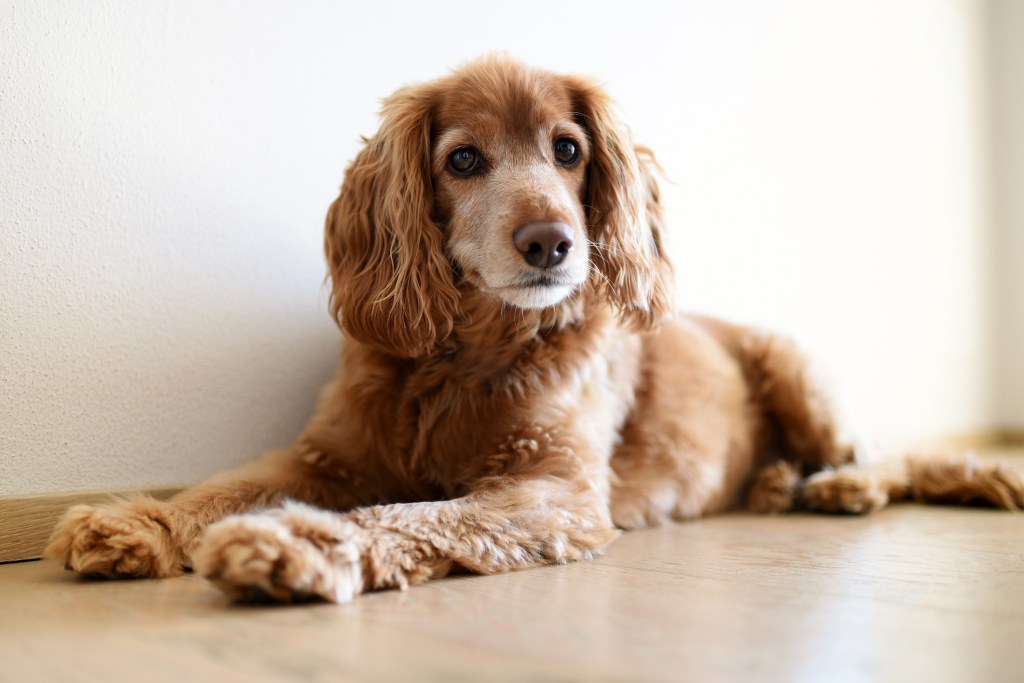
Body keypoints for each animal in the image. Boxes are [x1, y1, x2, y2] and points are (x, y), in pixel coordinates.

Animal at [46, 58, 1024, 602]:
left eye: (568, 149)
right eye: (463, 159)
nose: (552, 241)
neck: (468, 354)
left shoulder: (550, 491)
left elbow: (407, 513)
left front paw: (297, 545)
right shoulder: (324, 457)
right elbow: (224, 486)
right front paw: (134, 521)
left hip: (802, 371)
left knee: (887, 460)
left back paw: (835, 486)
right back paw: (780, 482)